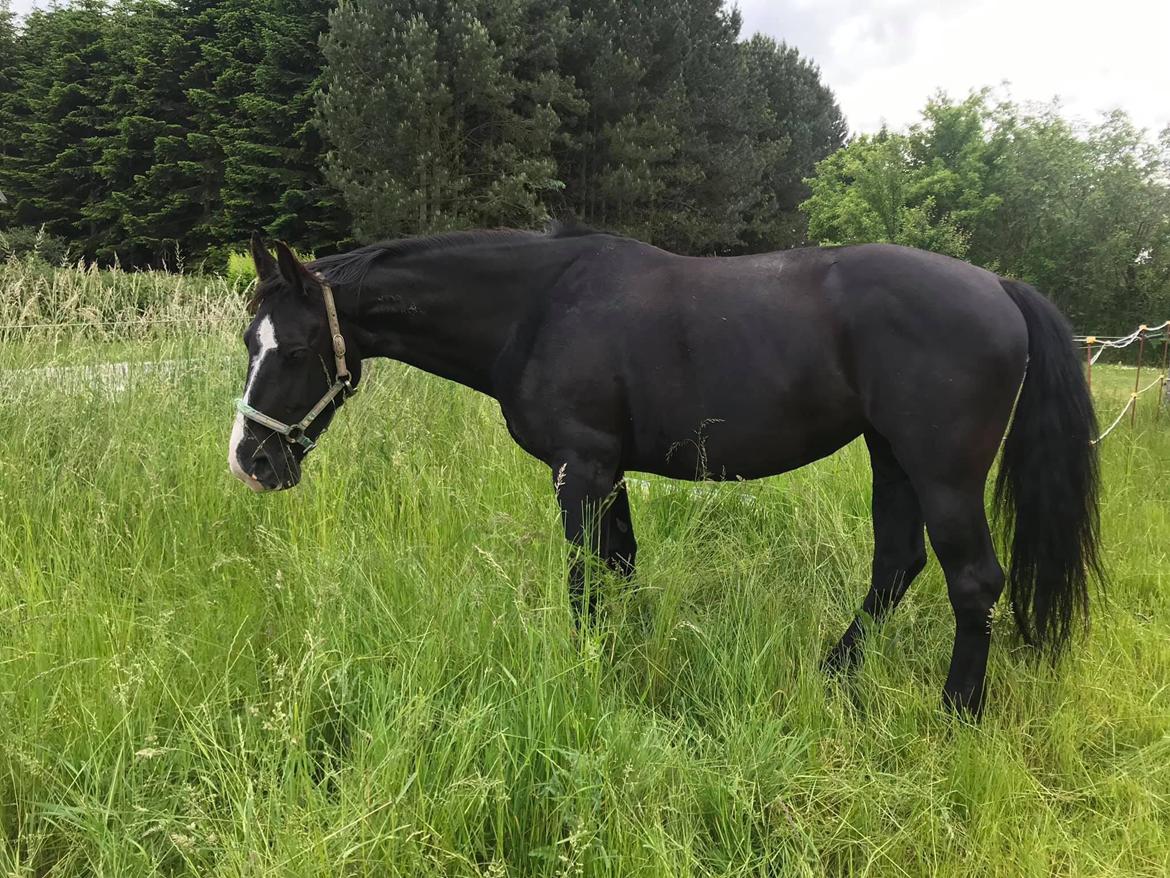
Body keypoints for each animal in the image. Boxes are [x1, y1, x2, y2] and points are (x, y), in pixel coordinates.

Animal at [232, 227, 1099, 721]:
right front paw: (633, 658)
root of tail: (998, 286)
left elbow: (585, 580)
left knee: (972, 581)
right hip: (889, 455)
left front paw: (588, 672)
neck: (538, 305)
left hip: (940, 471)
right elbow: (621, 564)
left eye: (297, 348)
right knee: (896, 563)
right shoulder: (607, 471)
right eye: (250, 340)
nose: (252, 460)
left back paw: (957, 713)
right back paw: (835, 672)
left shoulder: (580, 468)